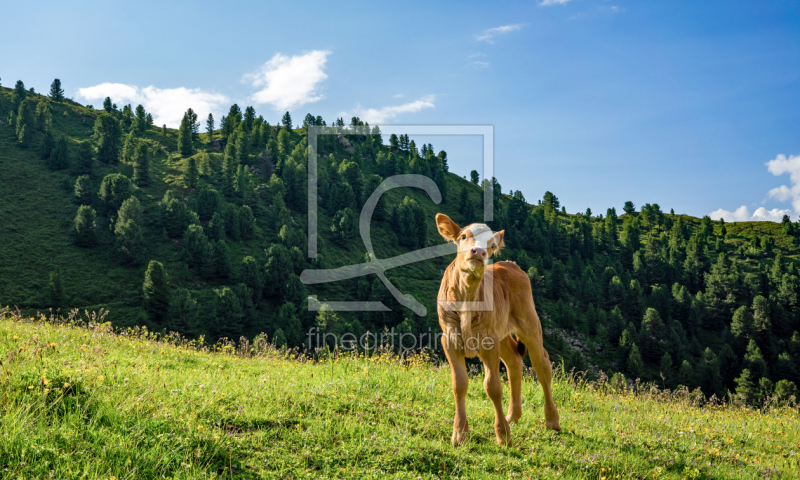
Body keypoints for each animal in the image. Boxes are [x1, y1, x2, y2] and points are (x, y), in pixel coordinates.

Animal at [434, 214, 560, 446]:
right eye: (463, 236)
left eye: (491, 246)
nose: (479, 252)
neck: (467, 298)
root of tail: (509, 264)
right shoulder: (449, 339)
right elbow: (459, 384)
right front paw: (459, 433)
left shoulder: (488, 342)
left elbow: (492, 386)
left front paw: (503, 435)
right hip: (501, 334)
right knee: (514, 362)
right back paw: (513, 416)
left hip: (529, 323)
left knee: (542, 367)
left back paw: (552, 420)